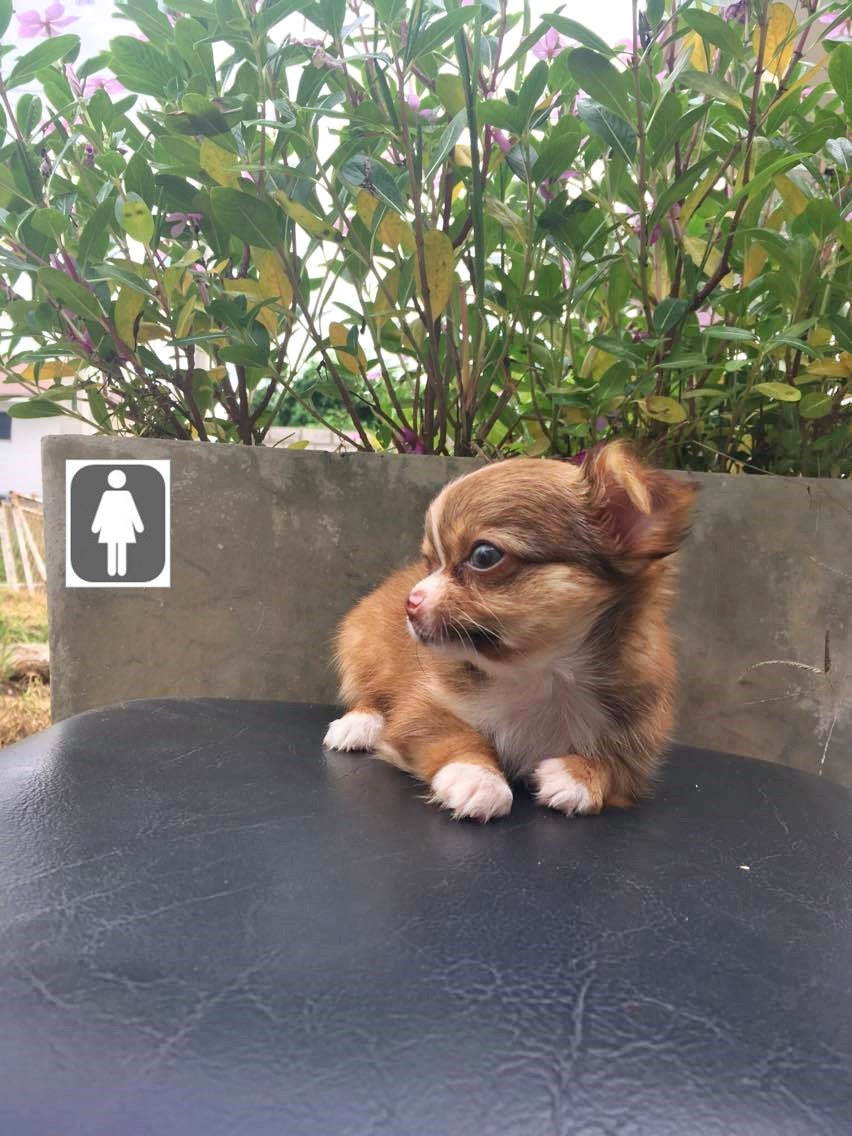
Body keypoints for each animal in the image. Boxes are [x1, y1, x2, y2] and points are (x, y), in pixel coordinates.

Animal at [324, 442, 697, 821]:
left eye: (484, 556)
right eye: (429, 563)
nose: (409, 603)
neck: (539, 673)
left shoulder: (638, 744)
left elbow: (615, 765)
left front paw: (578, 776)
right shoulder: (422, 707)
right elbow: (455, 736)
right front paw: (478, 779)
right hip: (363, 648)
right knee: (370, 694)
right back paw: (358, 725)